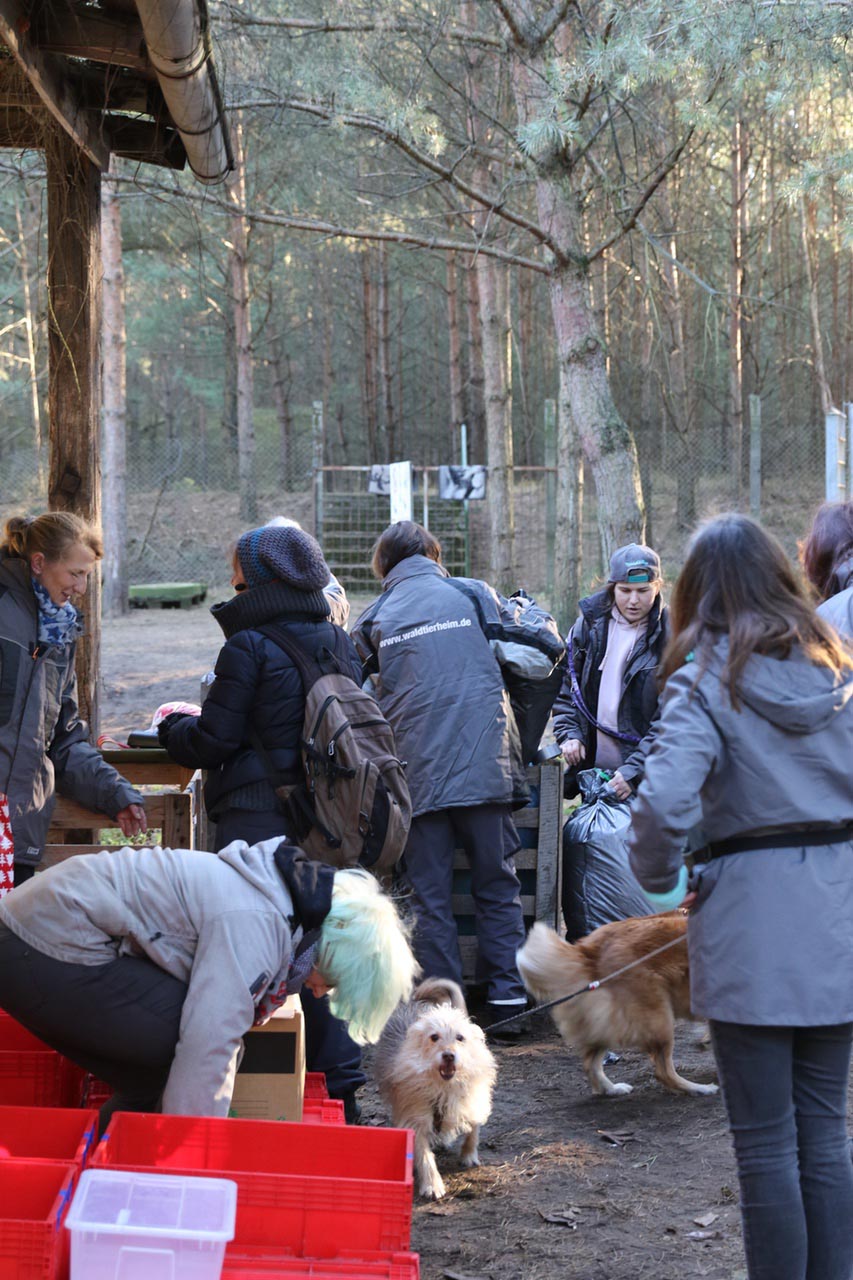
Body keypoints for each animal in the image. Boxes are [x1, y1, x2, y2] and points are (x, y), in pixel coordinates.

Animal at [374, 977, 497, 1200]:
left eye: (460, 1037)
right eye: (434, 1037)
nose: (448, 1055)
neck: (443, 1088)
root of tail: (416, 1000)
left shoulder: (473, 1101)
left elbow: (474, 1130)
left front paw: (469, 1155)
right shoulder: (415, 1118)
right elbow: (424, 1155)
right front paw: (432, 1184)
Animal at [516, 915, 717, 1098]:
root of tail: (589, 950)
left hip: (605, 1021)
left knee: (590, 1063)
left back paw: (611, 1089)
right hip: (659, 1018)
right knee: (663, 1072)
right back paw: (699, 1089)